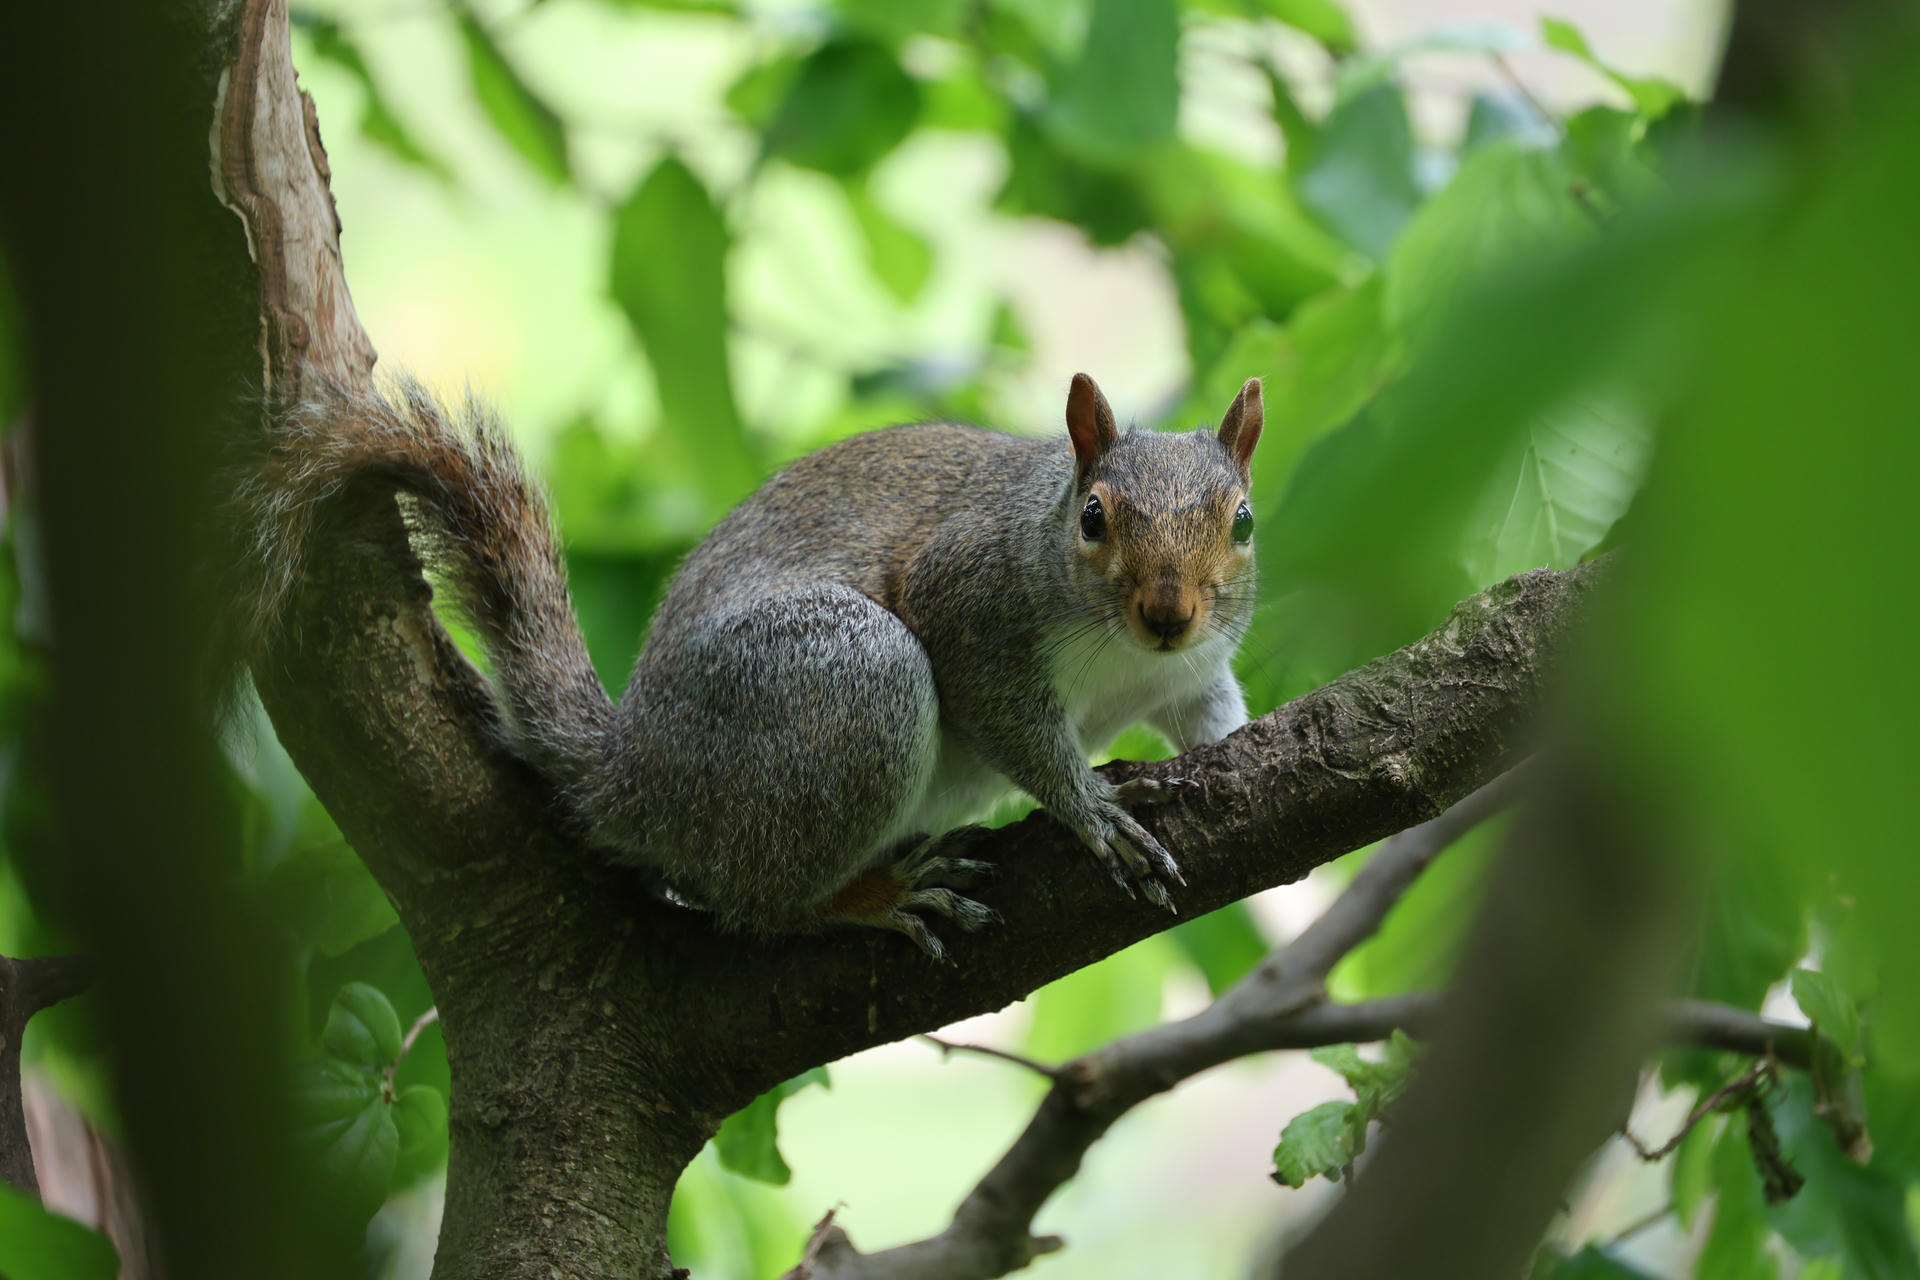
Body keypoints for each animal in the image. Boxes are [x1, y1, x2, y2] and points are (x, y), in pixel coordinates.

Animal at [240, 372, 1264, 957]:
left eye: (1243, 522)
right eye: (1093, 517)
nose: (1168, 613)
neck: (1122, 659)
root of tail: (634, 775)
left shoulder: (1188, 674)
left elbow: (1216, 720)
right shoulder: (969, 605)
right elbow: (1016, 726)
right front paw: (1094, 812)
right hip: (848, 685)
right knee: (750, 903)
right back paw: (875, 897)